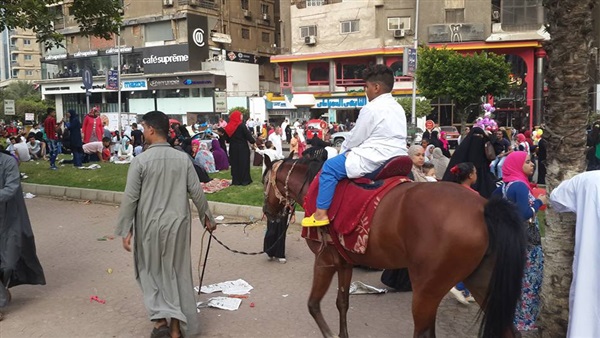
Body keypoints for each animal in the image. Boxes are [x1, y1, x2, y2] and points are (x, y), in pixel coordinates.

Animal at [262, 157, 524, 338]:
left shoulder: (325, 260)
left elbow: (313, 305)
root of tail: (484, 208)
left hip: (427, 291)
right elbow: (342, 302)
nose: (267, 211)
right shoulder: (344, 262)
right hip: (481, 281)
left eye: (265, 182)